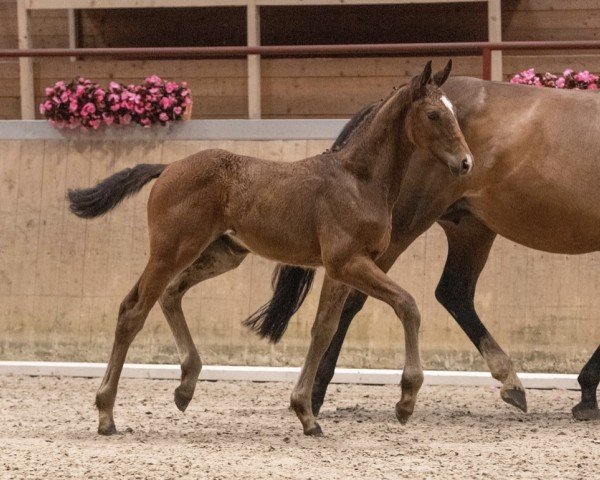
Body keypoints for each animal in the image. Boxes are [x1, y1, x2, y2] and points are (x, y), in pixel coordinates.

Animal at [70, 61, 474, 436]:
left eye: (454, 112)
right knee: (133, 311)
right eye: (434, 114)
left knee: (170, 294)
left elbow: (323, 329)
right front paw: (406, 400)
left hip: (221, 254)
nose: (466, 163)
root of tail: (168, 166)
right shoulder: (348, 262)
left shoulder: (341, 270)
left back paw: (185, 386)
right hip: (170, 252)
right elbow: (408, 305)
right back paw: (107, 415)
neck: (359, 180)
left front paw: (306, 415)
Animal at [148, 73, 596, 422]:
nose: (466, 162)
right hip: (413, 231)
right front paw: (588, 393)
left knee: (449, 294)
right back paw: (316, 396)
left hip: (468, 228)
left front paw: (587, 394)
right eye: (434, 116)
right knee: (371, 302)